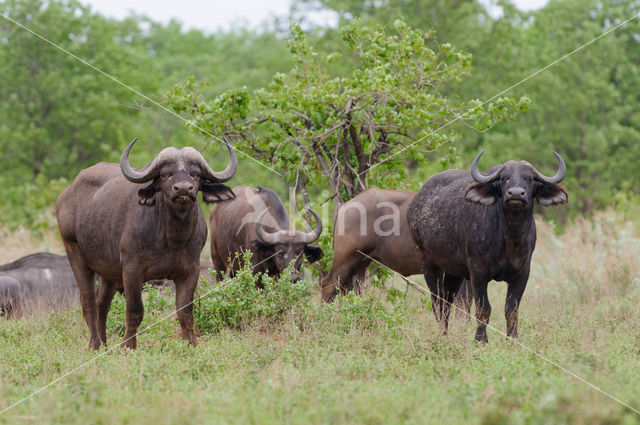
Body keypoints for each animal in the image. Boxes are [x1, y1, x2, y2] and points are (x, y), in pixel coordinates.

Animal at [57, 137, 238, 348]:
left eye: (196, 174)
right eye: (165, 174)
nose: (183, 189)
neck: (172, 239)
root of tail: (65, 196)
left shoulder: (191, 271)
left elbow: (185, 311)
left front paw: (190, 344)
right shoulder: (132, 271)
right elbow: (135, 310)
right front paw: (128, 345)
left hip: (108, 271)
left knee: (102, 304)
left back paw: (105, 345)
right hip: (74, 252)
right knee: (88, 303)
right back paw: (94, 345)